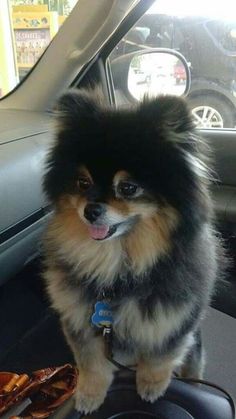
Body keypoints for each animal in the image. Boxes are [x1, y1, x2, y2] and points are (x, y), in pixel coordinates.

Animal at [42, 88, 221, 414]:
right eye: (82, 182)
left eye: (127, 188)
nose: (90, 210)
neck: (118, 263)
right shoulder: (79, 317)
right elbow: (90, 361)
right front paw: (89, 394)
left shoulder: (174, 318)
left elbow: (160, 354)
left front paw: (151, 385)